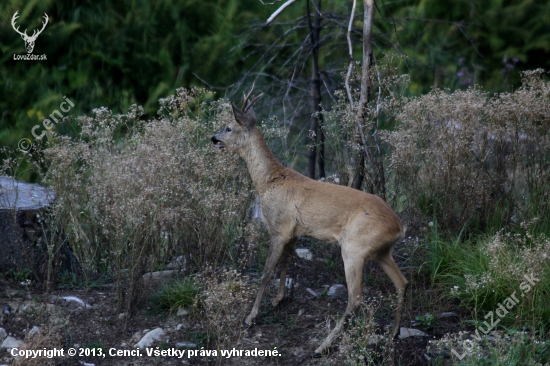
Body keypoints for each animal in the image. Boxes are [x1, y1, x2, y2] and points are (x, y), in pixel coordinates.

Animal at [211, 92, 410, 358]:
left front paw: (250, 317)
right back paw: (393, 333)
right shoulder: (292, 232)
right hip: (381, 251)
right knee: (402, 283)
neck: (268, 181)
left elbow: (265, 273)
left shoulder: (278, 228)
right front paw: (279, 299)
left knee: (355, 298)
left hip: (354, 248)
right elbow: (286, 261)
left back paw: (322, 346)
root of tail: (398, 227)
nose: (213, 138)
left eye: (228, 127)